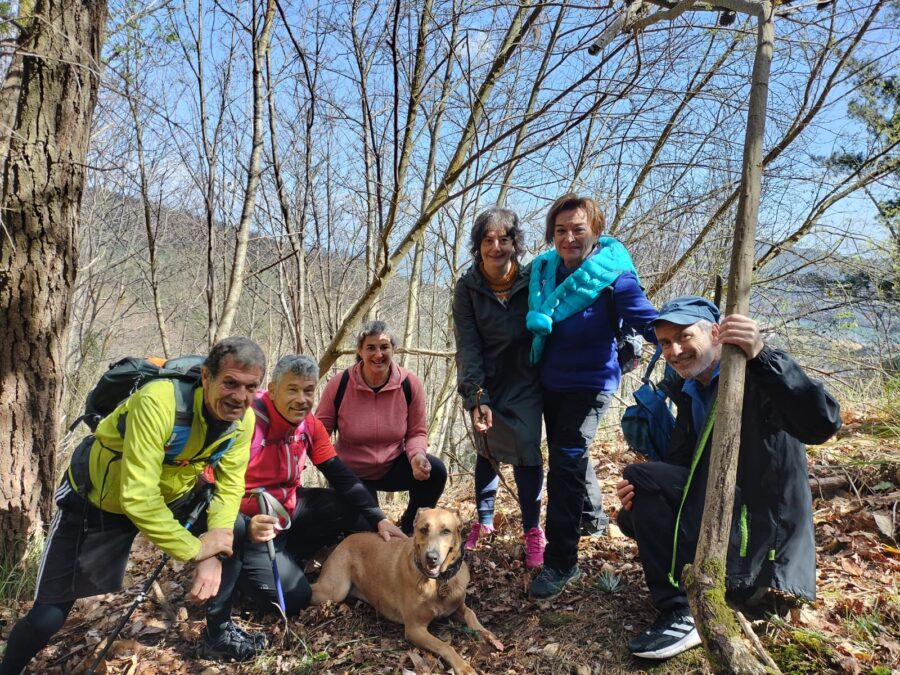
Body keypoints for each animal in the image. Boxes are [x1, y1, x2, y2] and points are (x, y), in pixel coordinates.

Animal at [312, 510, 502, 672]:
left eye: (446, 531)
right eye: (424, 529)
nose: (431, 558)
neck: (437, 581)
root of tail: (346, 539)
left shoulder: (456, 606)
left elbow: (471, 614)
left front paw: (489, 635)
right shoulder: (414, 629)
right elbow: (444, 645)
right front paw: (463, 666)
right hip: (334, 590)